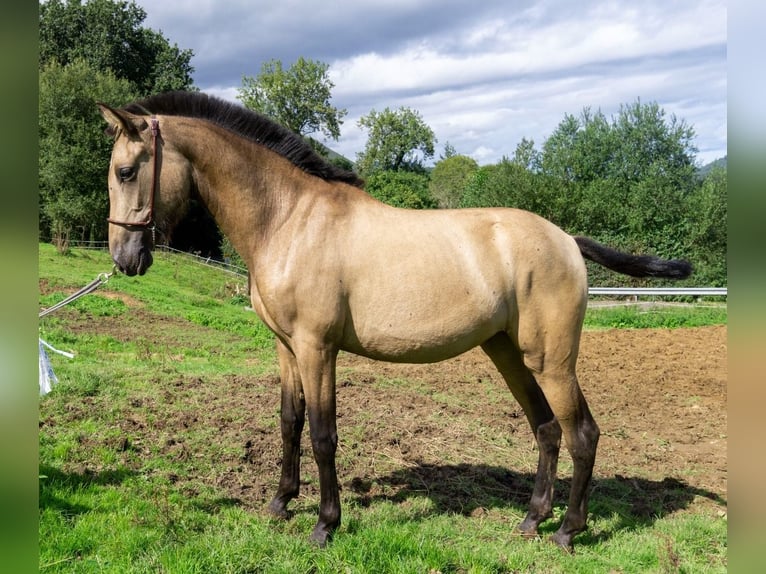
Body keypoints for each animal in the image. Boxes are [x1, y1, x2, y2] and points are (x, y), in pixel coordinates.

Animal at [97, 91, 696, 552]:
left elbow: (322, 434)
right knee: (547, 429)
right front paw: (280, 502)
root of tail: (567, 239)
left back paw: (569, 532)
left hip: (551, 359)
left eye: (126, 172)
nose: (125, 260)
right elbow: (289, 422)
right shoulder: (286, 348)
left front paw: (324, 525)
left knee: (582, 434)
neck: (289, 219)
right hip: (507, 352)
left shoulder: (317, 348)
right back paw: (531, 519)